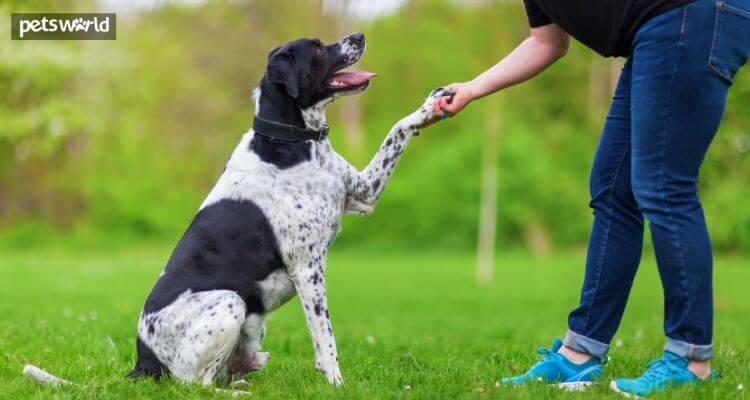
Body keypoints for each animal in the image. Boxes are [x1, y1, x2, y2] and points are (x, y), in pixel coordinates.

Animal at [23, 32, 446, 390]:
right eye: (318, 49)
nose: (359, 35)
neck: (291, 141)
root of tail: (143, 362)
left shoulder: (364, 195)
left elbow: (396, 130)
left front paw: (432, 105)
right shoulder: (307, 269)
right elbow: (325, 341)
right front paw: (337, 385)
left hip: (249, 324)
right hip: (230, 302)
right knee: (193, 383)